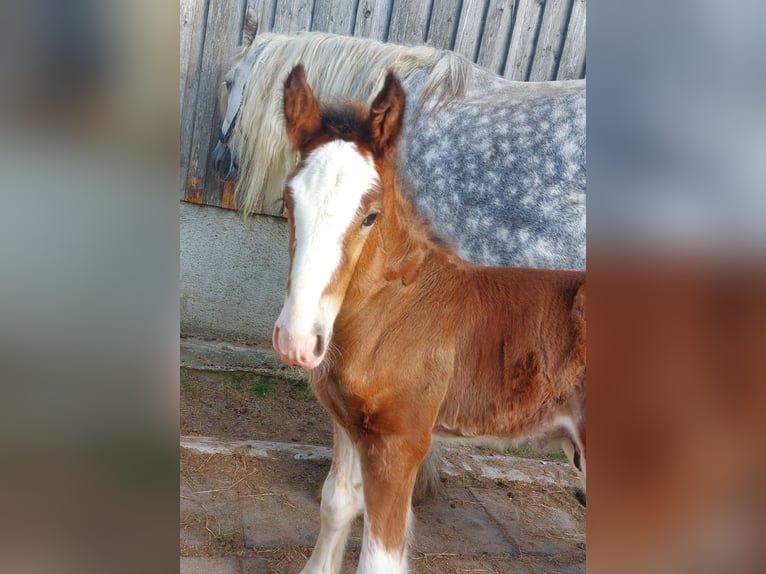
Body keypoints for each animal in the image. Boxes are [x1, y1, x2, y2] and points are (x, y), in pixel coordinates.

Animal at [272, 65, 584, 572]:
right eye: (286, 203)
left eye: (371, 215)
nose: (297, 340)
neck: (395, 312)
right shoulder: (348, 424)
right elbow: (336, 504)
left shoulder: (401, 444)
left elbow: (379, 559)